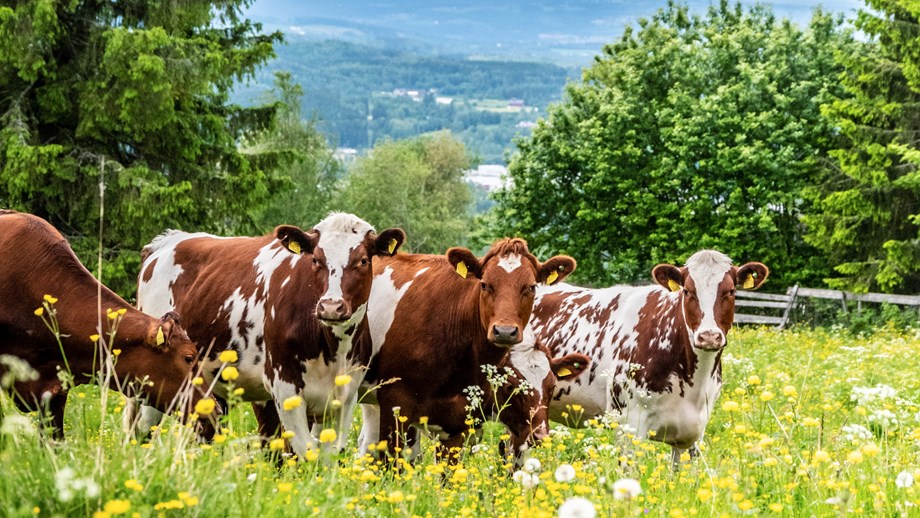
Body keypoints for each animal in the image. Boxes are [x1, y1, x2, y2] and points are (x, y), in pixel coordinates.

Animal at [124, 213, 404, 462]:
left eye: (364, 261)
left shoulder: (345, 397)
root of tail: (167, 241)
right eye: (315, 259)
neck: (331, 348)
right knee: (142, 429)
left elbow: (326, 457)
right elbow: (304, 452)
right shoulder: (285, 390)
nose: (331, 307)